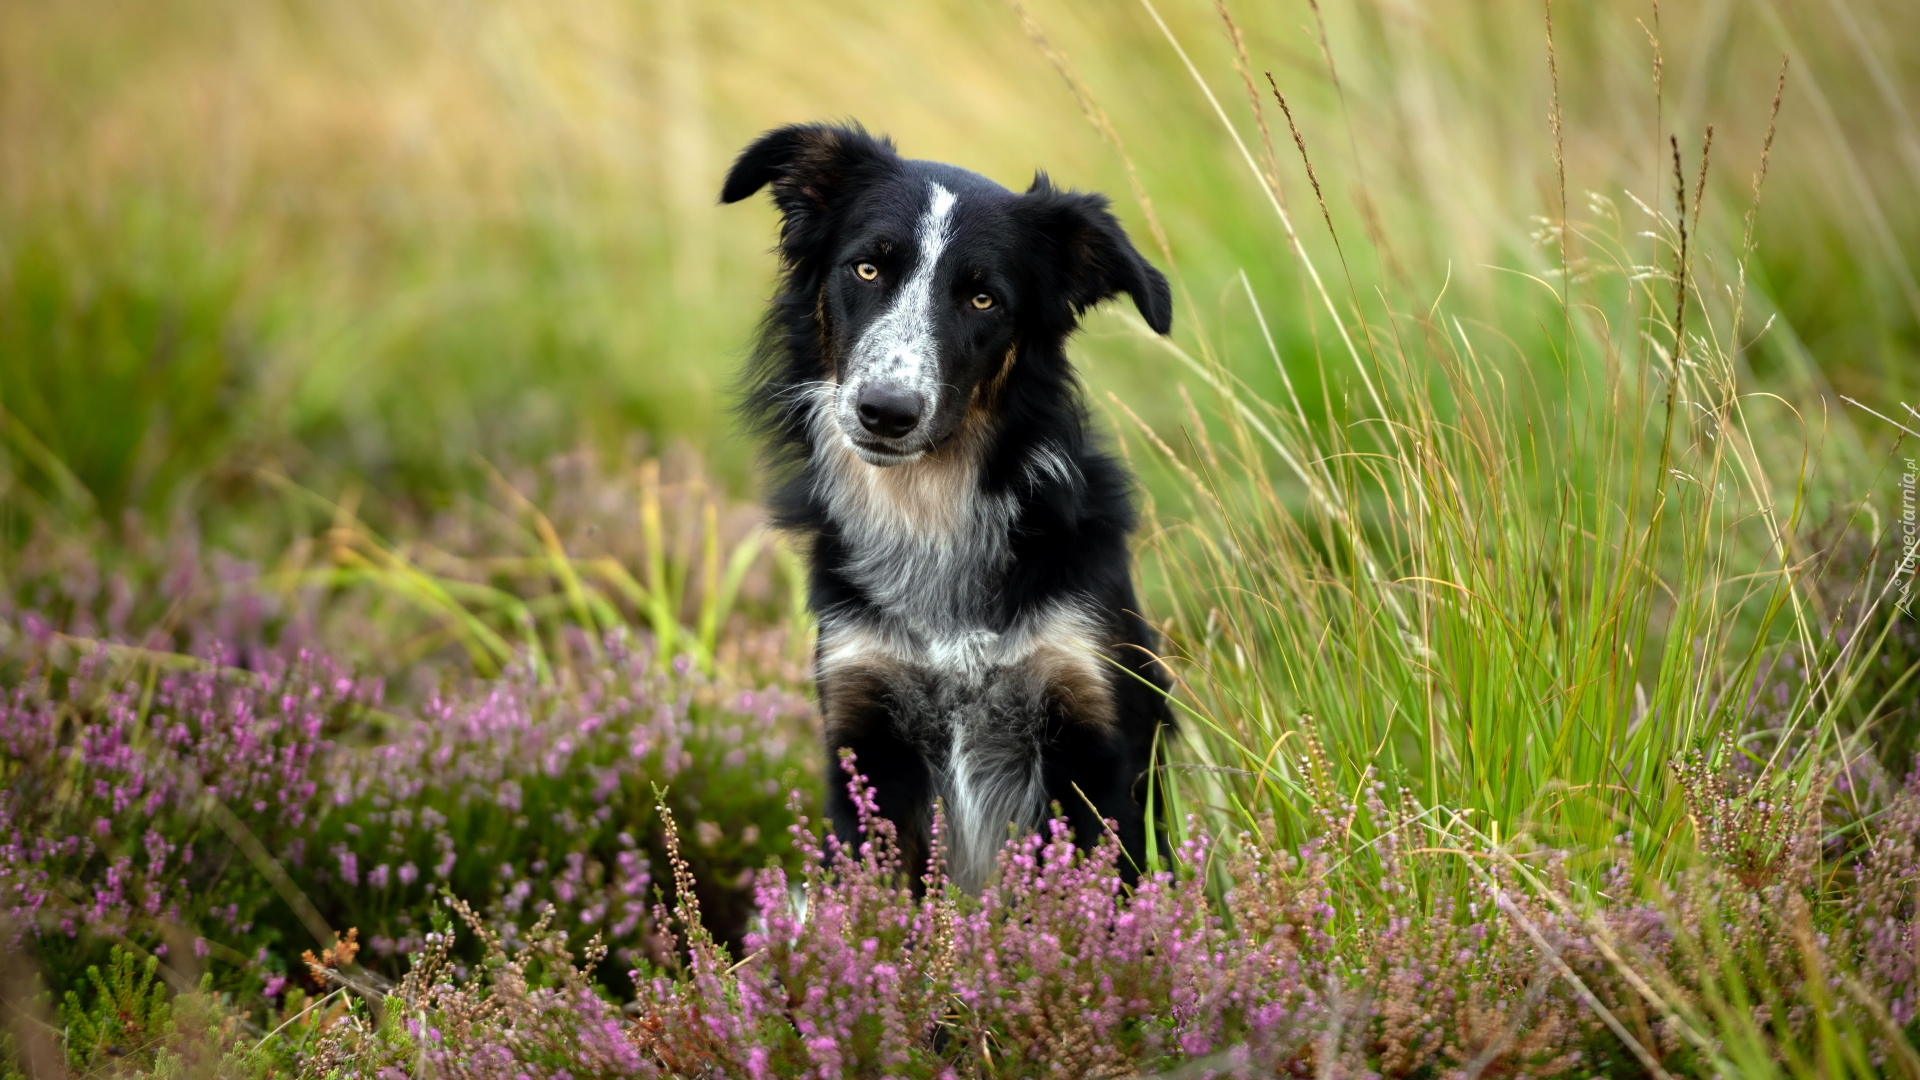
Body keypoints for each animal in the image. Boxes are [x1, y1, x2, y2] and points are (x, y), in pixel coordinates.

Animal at [721, 122, 1167, 887]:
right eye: (867, 270)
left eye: (984, 300)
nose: (885, 412)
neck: (928, 510)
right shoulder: (867, 736)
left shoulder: (1096, 738)